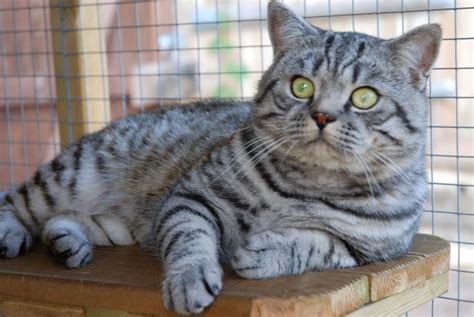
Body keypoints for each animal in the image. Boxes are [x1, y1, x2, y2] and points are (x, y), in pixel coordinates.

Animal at [0, 1, 442, 314]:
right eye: (301, 87)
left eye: (364, 97)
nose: (322, 115)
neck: (309, 185)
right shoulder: (192, 195)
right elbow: (189, 239)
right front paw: (189, 280)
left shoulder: (366, 251)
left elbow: (314, 242)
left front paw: (264, 251)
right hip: (72, 175)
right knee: (16, 201)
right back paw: (14, 235)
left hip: (115, 225)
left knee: (64, 219)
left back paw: (67, 244)